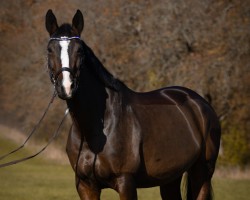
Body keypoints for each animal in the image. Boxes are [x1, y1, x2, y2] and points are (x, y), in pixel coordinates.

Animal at [45, 9, 221, 200]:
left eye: (79, 50)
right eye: (49, 50)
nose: (66, 87)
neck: (94, 131)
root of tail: (201, 104)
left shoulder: (126, 182)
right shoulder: (85, 185)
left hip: (202, 173)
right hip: (170, 177)